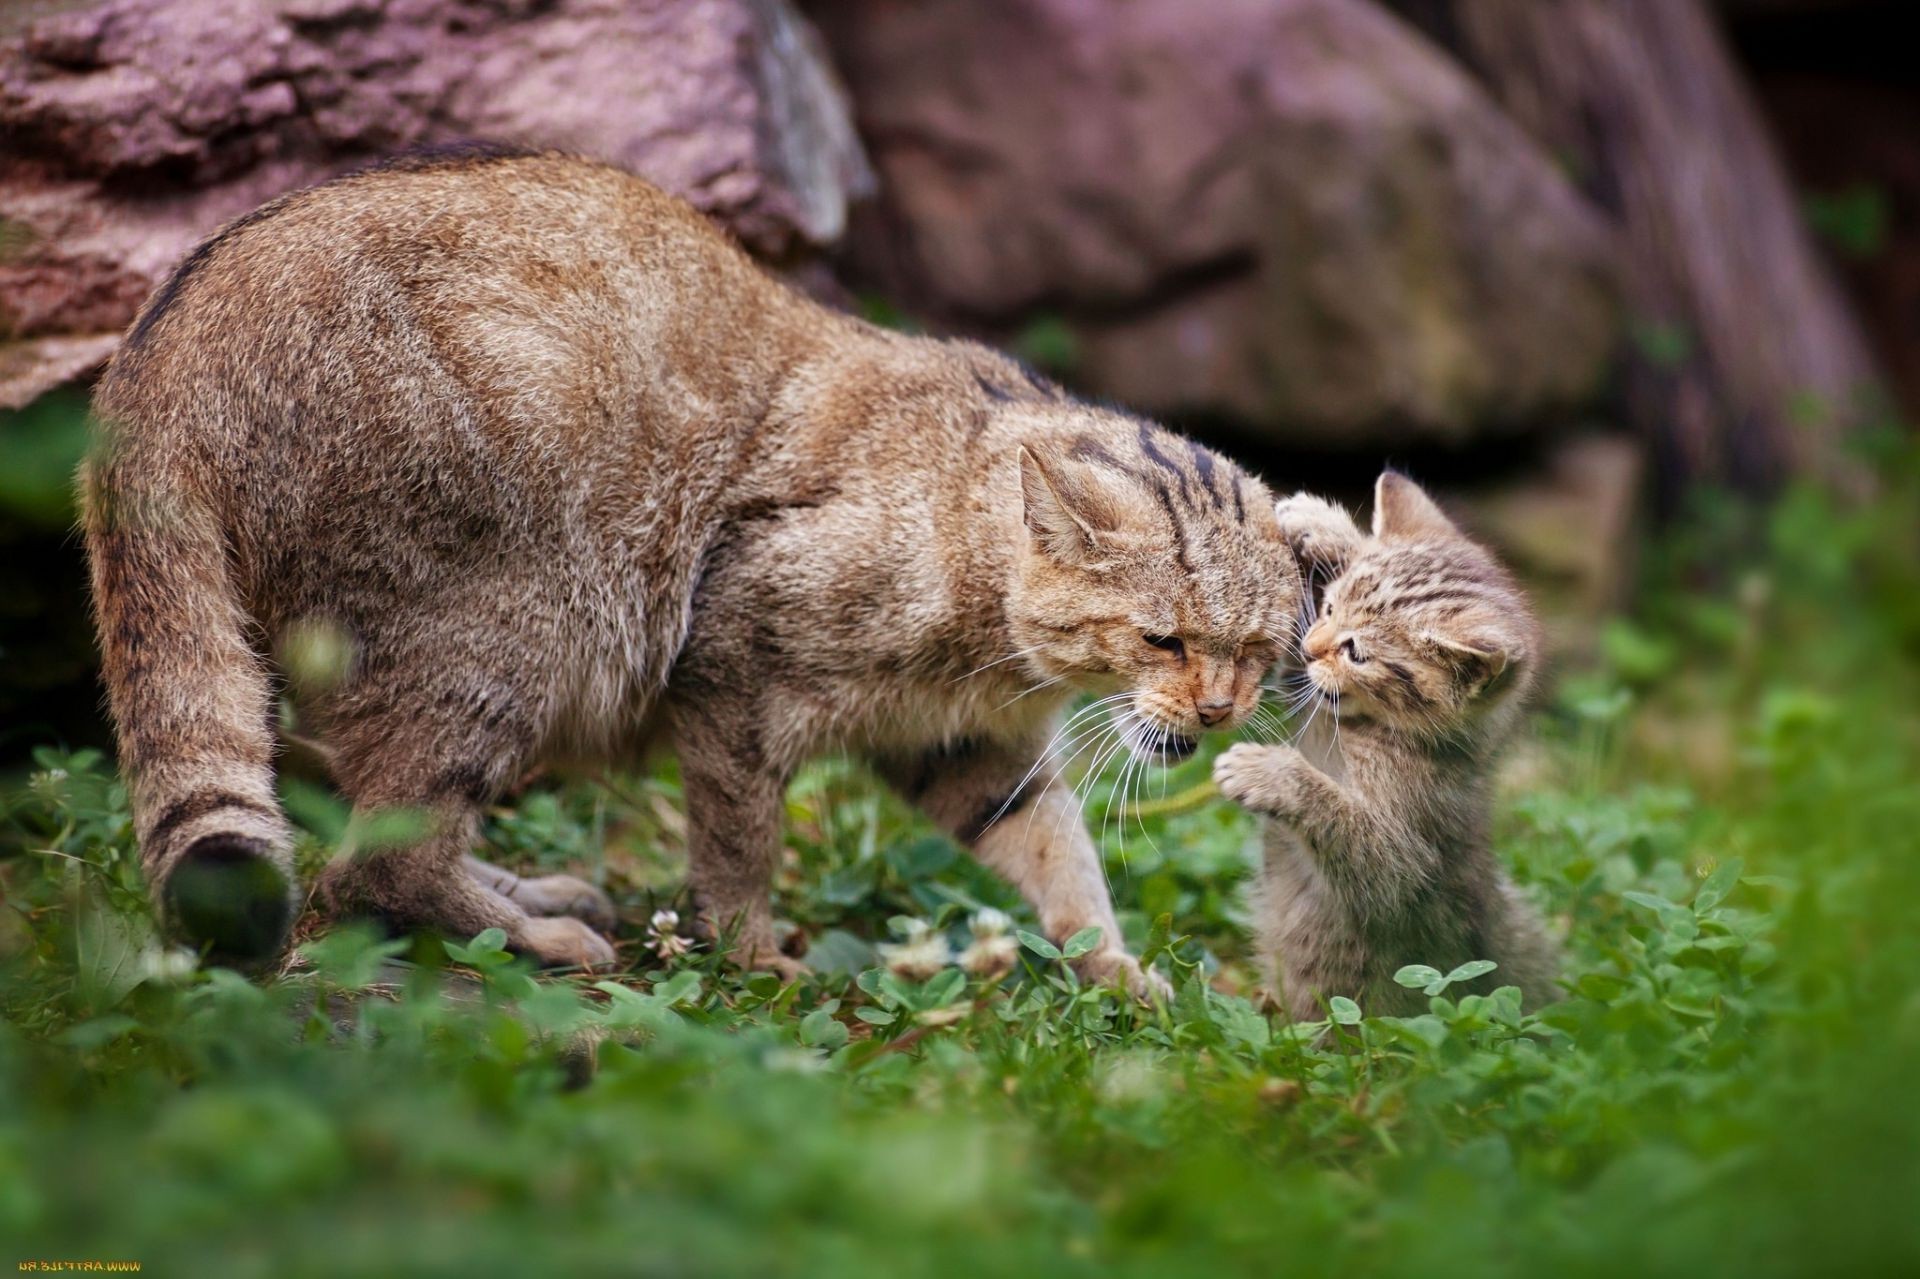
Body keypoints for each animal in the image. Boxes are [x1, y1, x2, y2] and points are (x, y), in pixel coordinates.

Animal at [82, 151, 1297, 983]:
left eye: (1256, 649)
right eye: (1164, 638)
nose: (1221, 710)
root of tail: (150, 362)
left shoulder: (966, 749)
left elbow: (1055, 851)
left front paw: (1112, 966)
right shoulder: (733, 673)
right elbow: (738, 843)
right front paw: (754, 954)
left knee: (363, 825)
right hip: (506, 632)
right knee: (376, 859)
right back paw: (540, 932)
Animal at [1213, 468, 1559, 1013]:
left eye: (1356, 652)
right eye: (1329, 606)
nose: (1311, 647)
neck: (1371, 731)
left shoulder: (1409, 860)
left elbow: (1364, 849)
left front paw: (1270, 774)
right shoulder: (1307, 693)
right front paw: (1323, 526)